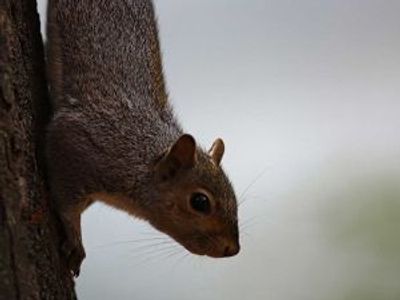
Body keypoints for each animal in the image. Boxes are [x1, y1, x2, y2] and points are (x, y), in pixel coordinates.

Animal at [45, 0, 239, 276]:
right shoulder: (75, 144)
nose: (232, 250)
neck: (140, 159)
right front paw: (75, 241)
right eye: (200, 202)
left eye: (234, 196)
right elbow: (65, 203)